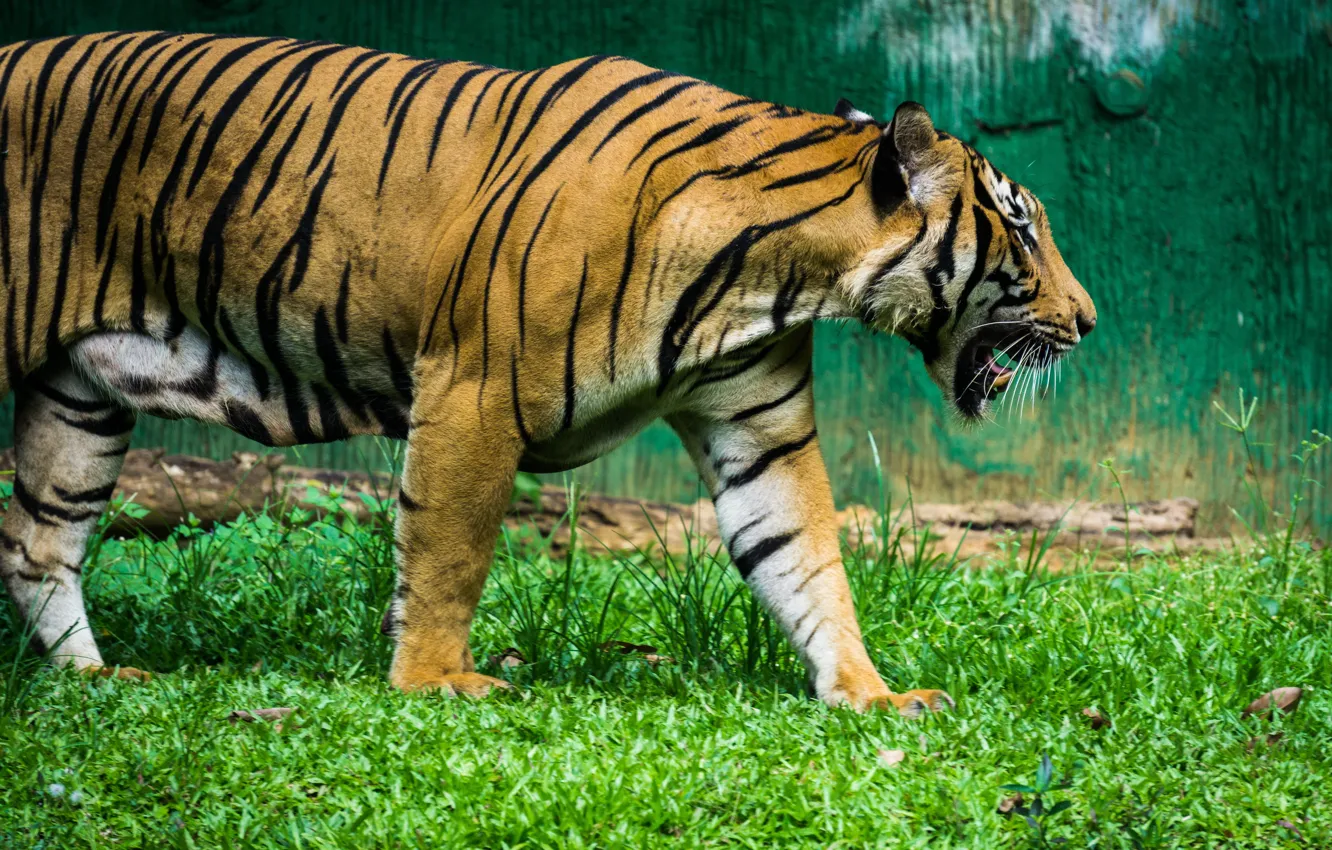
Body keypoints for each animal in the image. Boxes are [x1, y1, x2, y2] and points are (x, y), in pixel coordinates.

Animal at [0, 33, 1092, 714]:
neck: (776, 277)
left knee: (37, 542)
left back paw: (94, 678)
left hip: (80, 394)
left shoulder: (759, 425)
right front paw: (435, 681)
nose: (1086, 321)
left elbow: (805, 556)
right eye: (1024, 225)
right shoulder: (472, 392)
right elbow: (448, 550)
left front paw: (869, 694)